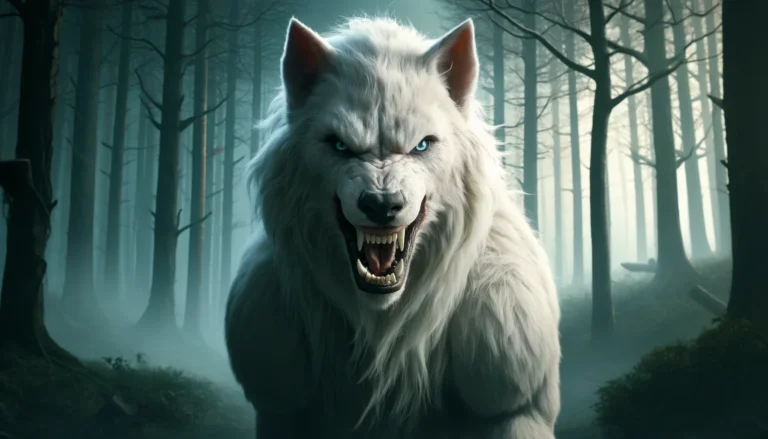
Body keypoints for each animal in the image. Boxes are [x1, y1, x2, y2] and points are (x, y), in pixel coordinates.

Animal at [225, 16, 561, 439]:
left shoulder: (513, 403)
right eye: (340, 146)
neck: (382, 333)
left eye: (421, 146)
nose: (382, 205)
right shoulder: (279, 406)